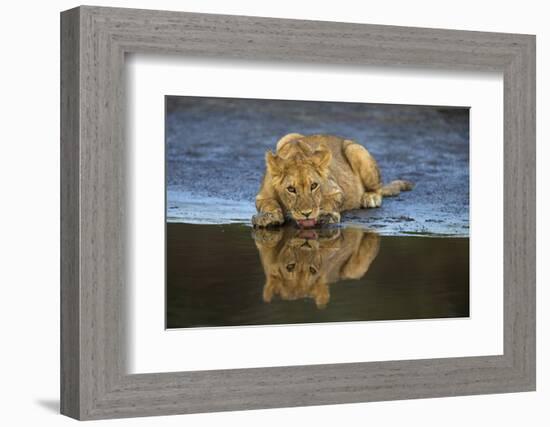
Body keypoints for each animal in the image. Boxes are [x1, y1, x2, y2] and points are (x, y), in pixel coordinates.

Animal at [253, 134, 414, 229]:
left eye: (314, 186)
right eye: (291, 189)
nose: (307, 214)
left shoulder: (335, 190)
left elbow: (329, 202)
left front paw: (326, 216)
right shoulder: (262, 197)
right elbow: (269, 204)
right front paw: (268, 217)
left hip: (354, 149)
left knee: (378, 189)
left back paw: (370, 197)